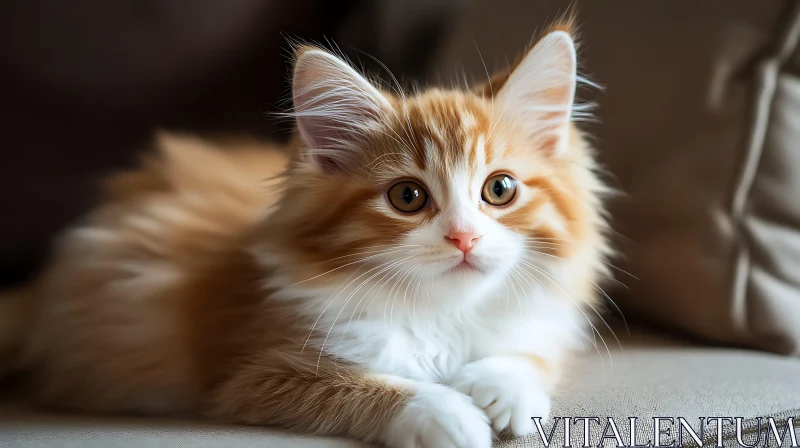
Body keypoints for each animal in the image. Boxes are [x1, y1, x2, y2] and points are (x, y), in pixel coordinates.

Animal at [0, 22, 608, 448]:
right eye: (408, 197)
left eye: (499, 189)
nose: (464, 238)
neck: (443, 313)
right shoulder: (256, 370)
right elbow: (366, 385)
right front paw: (447, 413)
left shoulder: (544, 321)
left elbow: (529, 351)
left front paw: (505, 390)